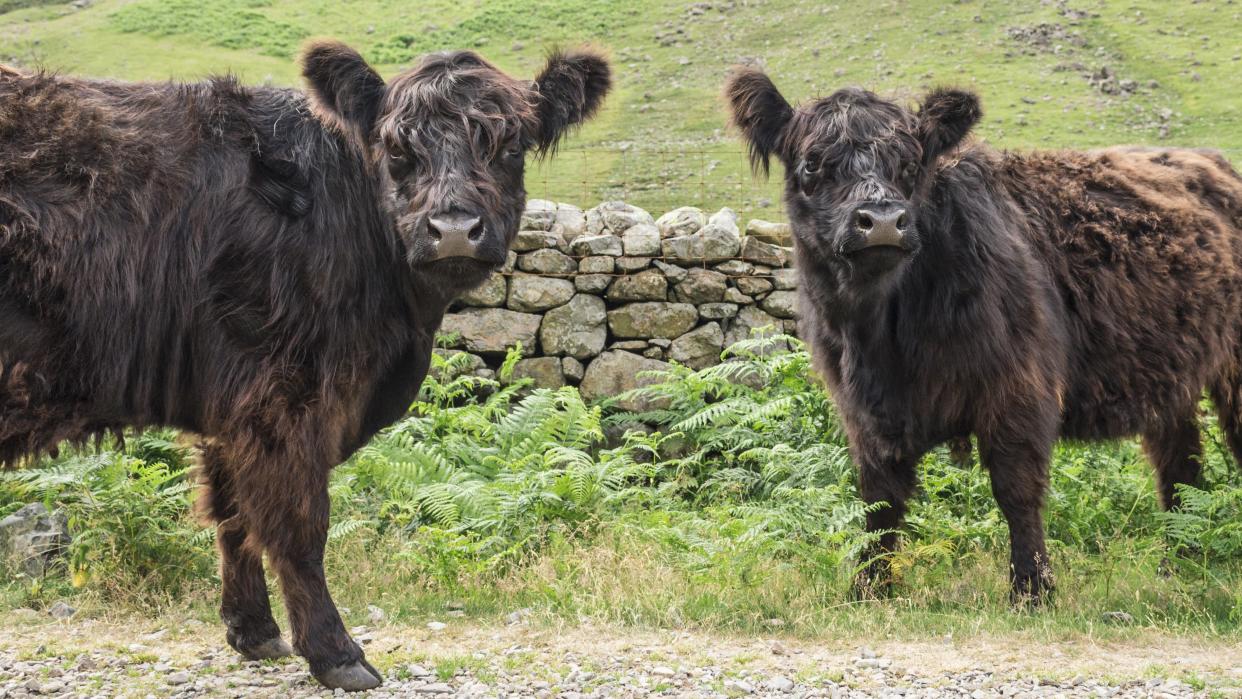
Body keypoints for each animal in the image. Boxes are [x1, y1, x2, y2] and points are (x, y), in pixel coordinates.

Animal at [0, 45, 611, 695]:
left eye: (510, 145)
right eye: (396, 149)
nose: (452, 231)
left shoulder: (230, 406)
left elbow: (232, 514)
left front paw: (253, 632)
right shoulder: (282, 395)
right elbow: (298, 527)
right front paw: (336, 654)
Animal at [725, 72, 1242, 608]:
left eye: (911, 163)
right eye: (812, 163)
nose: (883, 222)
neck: (883, 339)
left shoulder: (1019, 389)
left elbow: (1016, 490)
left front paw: (1032, 590)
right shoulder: (861, 412)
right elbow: (879, 500)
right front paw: (870, 587)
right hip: (1172, 379)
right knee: (1179, 464)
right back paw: (1178, 565)